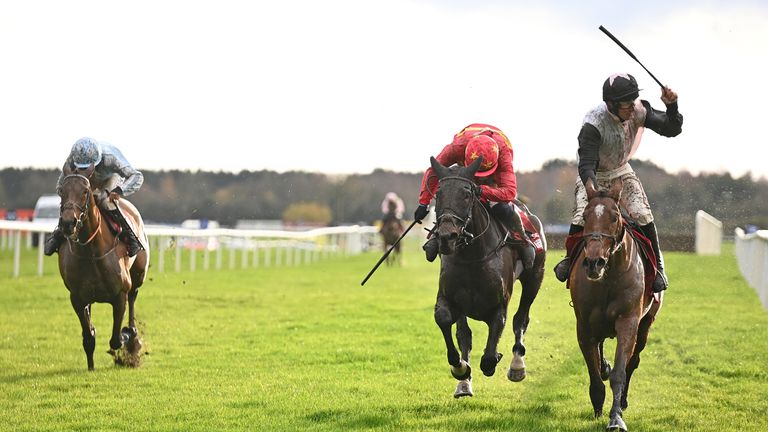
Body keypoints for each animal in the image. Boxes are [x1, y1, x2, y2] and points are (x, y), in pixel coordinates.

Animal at [57, 165, 150, 372]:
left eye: (85, 191)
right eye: (61, 191)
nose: (68, 223)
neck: (91, 252)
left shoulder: (120, 295)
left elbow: (116, 340)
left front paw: (128, 338)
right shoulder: (77, 298)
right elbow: (88, 337)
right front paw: (91, 367)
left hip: (138, 276)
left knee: (134, 296)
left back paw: (132, 336)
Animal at [426, 156, 544, 398]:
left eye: (466, 194)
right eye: (438, 194)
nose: (446, 237)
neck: (473, 257)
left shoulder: (499, 304)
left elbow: (490, 353)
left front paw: (494, 359)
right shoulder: (450, 298)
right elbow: (450, 324)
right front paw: (461, 370)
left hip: (534, 278)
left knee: (521, 318)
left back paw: (517, 365)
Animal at [568, 180, 664, 432]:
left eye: (614, 217)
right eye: (585, 216)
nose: (594, 263)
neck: (608, 279)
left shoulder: (628, 321)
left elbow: (620, 372)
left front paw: (616, 416)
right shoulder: (584, 324)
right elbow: (593, 371)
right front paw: (598, 405)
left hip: (646, 324)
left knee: (633, 361)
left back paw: (624, 399)